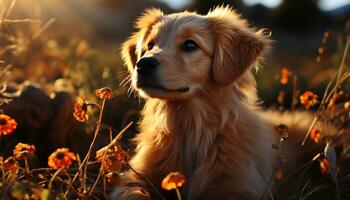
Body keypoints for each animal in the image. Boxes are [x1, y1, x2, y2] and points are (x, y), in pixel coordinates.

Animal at [114, 5, 322, 199]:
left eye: (190, 45)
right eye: (149, 45)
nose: (143, 64)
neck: (189, 127)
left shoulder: (238, 187)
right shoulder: (134, 178)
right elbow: (132, 192)